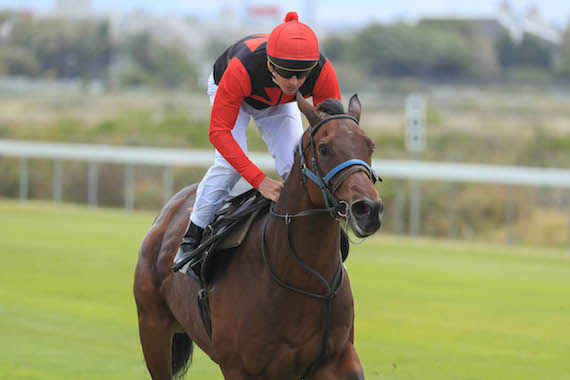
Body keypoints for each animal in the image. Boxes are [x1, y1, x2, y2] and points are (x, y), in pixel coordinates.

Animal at [133, 93, 382, 380]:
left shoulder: (337, 359)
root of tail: (167, 213)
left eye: (370, 146)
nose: (368, 209)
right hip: (153, 327)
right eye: (324, 148)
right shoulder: (240, 368)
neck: (302, 278)